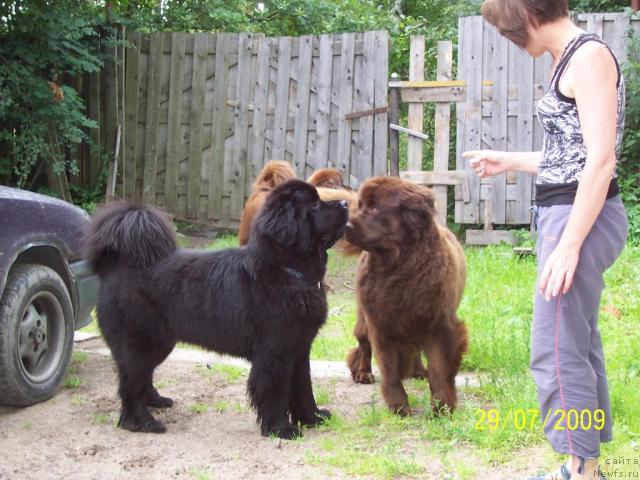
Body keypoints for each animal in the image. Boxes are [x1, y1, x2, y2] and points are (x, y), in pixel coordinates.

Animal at [84, 180, 348, 438]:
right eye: (314, 204)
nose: (346, 203)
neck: (287, 271)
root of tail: (114, 265)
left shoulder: (300, 349)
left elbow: (304, 388)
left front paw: (313, 418)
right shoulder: (275, 354)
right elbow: (275, 393)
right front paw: (280, 429)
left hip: (159, 344)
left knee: (141, 378)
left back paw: (155, 401)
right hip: (139, 344)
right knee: (130, 384)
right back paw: (141, 422)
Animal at [344, 177, 470, 416]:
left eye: (374, 207)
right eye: (360, 205)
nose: (344, 225)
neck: (399, 267)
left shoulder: (439, 326)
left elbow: (439, 371)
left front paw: (442, 408)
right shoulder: (381, 324)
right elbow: (390, 371)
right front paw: (399, 408)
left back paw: (418, 371)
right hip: (365, 317)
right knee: (363, 343)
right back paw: (363, 372)